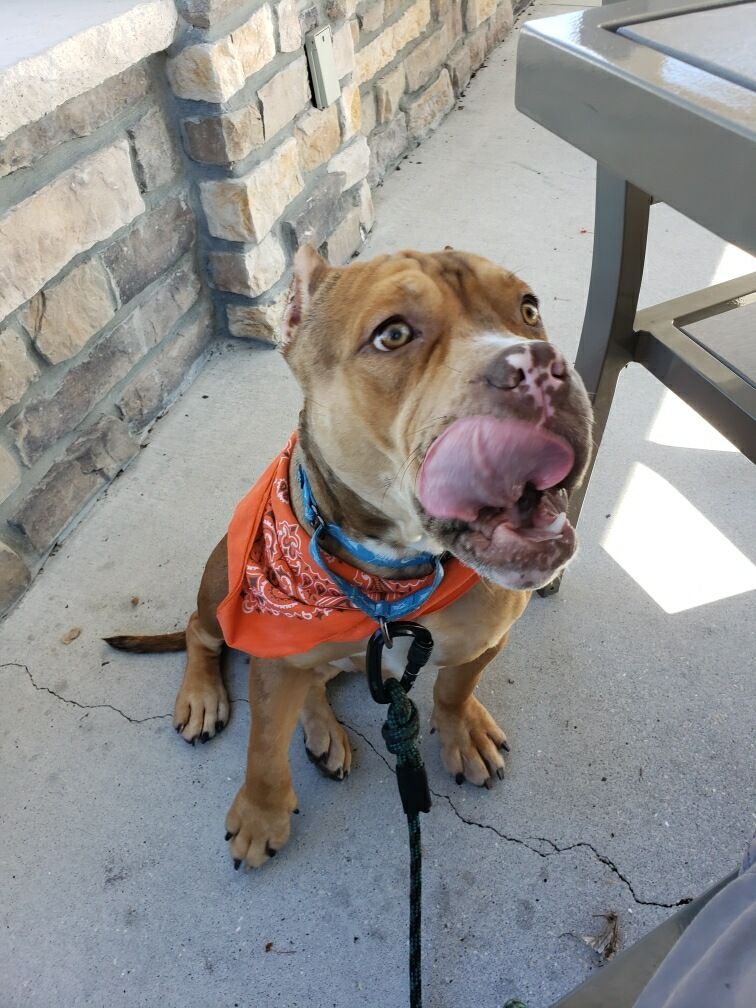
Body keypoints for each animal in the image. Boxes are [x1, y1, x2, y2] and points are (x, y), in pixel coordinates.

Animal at [109, 243, 596, 866]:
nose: (539, 364)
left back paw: (323, 731)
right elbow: (264, 746)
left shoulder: (486, 638)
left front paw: (461, 730)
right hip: (224, 584)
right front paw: (260, 814)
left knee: (318, 681)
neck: (394, 580)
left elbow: (455, 687)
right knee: (203, 633)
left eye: (529, 309)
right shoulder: (273, 655)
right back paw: (206, 697)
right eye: (393, 335)